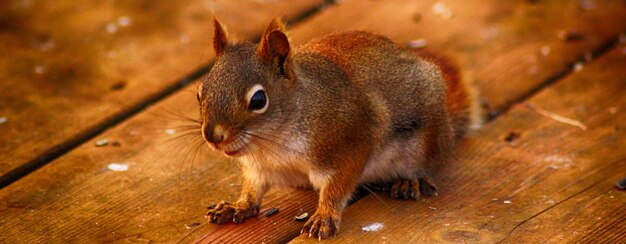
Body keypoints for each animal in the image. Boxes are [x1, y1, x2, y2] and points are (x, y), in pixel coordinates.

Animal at [197, 17, 480, 240]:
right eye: (201, 92)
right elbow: (253, 190)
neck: (273, 144)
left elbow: (337, 187)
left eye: (258, 100)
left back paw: (409, 180)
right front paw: (237, 206)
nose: (212, 136)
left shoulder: (348, 145)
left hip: (426, 138)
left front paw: (325, 215)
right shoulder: (259, 168)